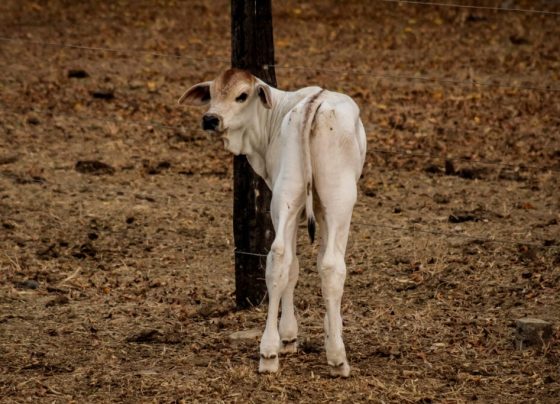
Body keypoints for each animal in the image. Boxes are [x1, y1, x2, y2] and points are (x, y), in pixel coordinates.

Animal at [179, 68, 368, 376]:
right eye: (213, 93)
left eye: (241, 95)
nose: (210, 119)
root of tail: (313, 105)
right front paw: (312, 334)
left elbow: (297, 266)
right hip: (331, 200)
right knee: (322, 264)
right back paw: (325, 357)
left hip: (294, 197)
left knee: (285, 258)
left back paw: (276, 352)